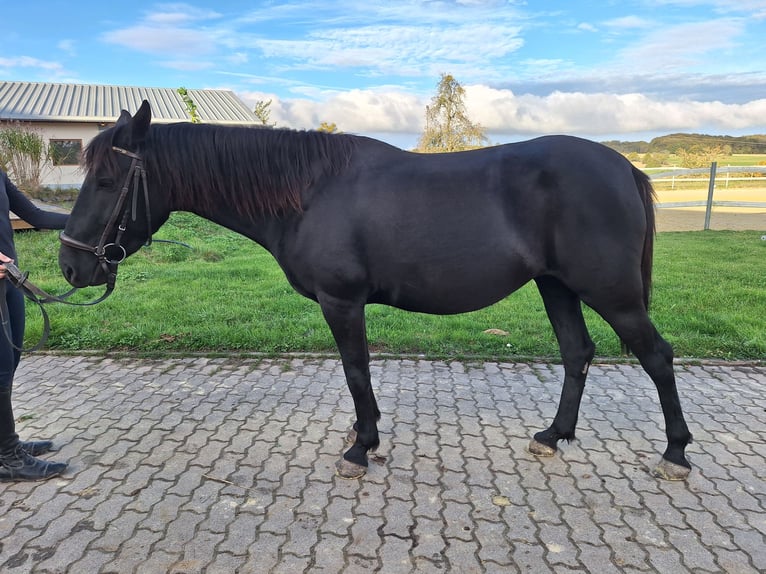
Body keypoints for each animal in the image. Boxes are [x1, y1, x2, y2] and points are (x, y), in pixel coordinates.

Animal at [60, 102, 696, 482]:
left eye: (108, 180)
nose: (70, 265)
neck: (309, 191)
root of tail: (623, 167)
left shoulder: (342, 301)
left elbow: (356, 369)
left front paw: (361, 445)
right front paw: (361, 436)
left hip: (610, 292)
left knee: (657, 357)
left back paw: (675, 453)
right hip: (557, 286)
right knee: (577, 353)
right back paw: (553, 436)